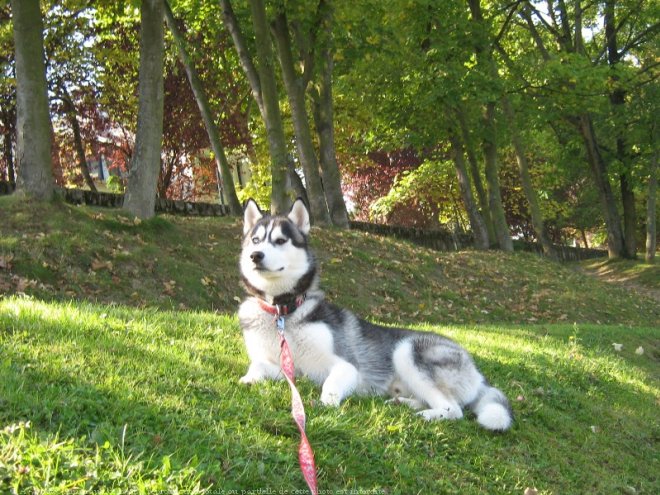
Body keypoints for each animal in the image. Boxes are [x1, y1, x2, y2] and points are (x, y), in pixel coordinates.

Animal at [240, 200, 512, 432]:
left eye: (280, 240)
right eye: (255, 240)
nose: (256, 255)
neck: (283, 312)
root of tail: (476, 371)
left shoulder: (348, 366)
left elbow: (330, 384)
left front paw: (326, 404)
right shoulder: (285, 368)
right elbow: (258, 365)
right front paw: (248, 379)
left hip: (407, 350)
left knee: (453, 409)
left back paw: (426, 415)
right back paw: (404, 404)